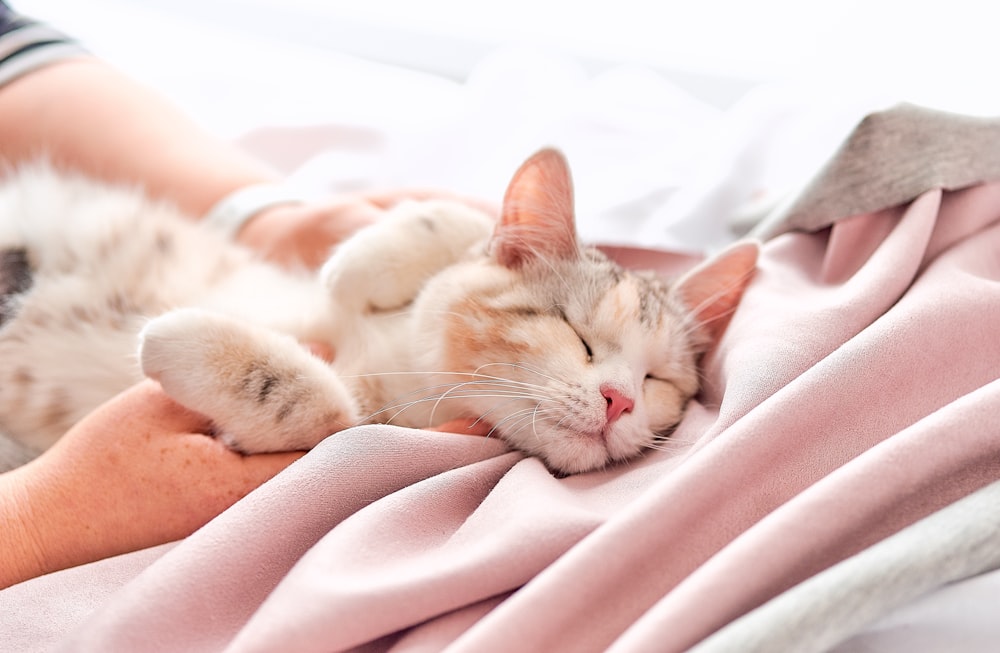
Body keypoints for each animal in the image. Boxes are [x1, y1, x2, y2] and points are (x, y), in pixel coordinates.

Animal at [0, 148, 752, 474]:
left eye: (659, 381)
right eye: (579, 335)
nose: (621, 400)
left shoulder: (357, 423)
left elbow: (325, 411)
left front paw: (182, 338)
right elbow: (458, 228)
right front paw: (363, 257)